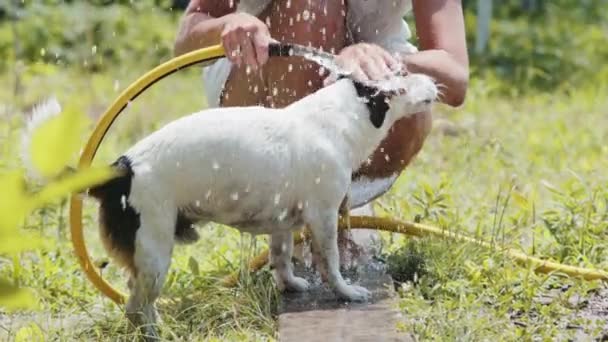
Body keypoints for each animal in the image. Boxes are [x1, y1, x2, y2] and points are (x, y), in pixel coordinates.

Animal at [21, 56, 434, 336]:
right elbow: (330, 263)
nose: (432, 79)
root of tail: (121, 169)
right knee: (137, 308)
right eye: (403, 75)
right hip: (154, 255)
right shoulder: (323, 216)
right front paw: (346, 292)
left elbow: (281, 257)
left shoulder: (283, 223)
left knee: (135, 301)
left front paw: (290, 284)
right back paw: (156, 333)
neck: (343, 115)